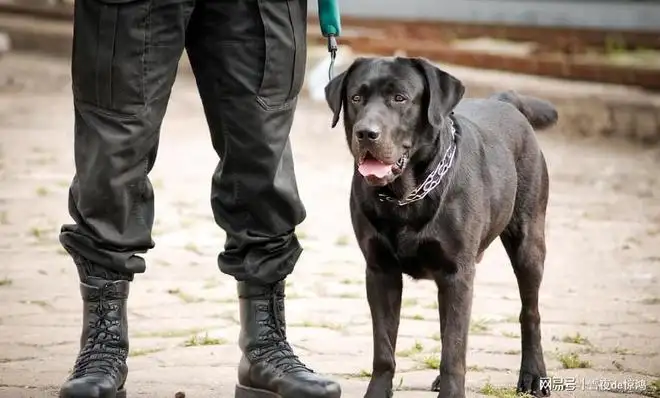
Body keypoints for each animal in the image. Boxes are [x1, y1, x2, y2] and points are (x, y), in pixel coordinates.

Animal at [324, 56, 556, 398]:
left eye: (400, 98)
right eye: (355, 98)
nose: (366, 133)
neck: (406, 195)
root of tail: (505, 101)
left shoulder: (456, 272)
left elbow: (454, 348)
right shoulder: (380, 271)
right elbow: (385, 348)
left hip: (528, 241)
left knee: (530, 312)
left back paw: (533, 375)